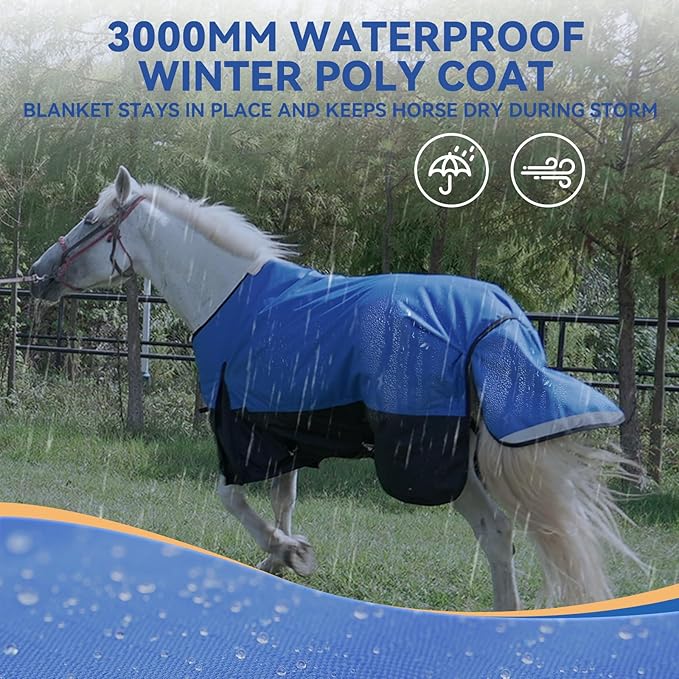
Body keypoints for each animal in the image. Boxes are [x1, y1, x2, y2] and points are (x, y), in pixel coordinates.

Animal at [28, 166, 643, 611]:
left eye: (90, 220)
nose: (37, 274)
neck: (229, 298)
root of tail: (499, 318)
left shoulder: (240, 430)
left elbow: (232, 497)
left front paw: (290, 553)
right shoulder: (284, 429)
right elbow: (283, 500)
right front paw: (279, 561)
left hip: (429, 454)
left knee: (494, 529)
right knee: (500, 533)